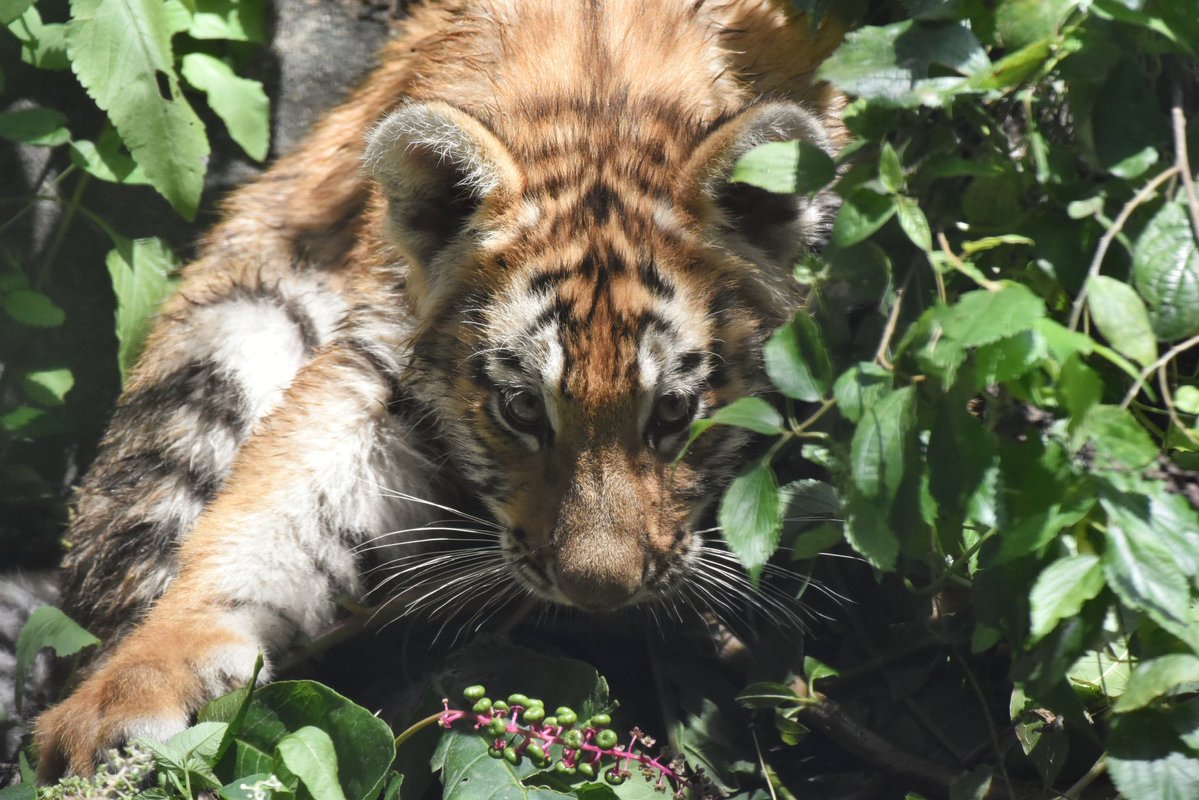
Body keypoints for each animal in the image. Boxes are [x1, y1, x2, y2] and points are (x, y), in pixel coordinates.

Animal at [32, 0, 845, 779]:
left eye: (674, 411)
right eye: (521, 409)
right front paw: (128, 693)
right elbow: (272, 519)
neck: (600, 114)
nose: (597, 594)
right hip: (230, 333)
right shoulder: (378, 358)